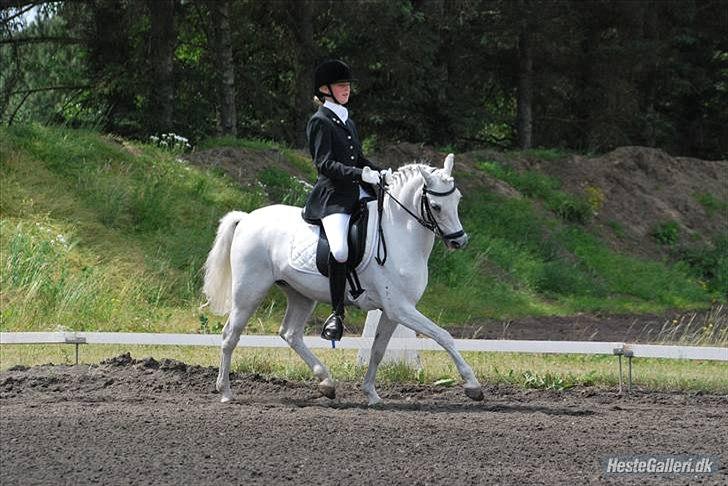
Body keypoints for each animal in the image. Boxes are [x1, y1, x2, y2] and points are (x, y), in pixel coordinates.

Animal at [203, 153, 484, 405]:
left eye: (458, 199)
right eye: (436, 206)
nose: (459, 241)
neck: (398, 234)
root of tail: (247, 218)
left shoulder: (394, 311)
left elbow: (377, 350)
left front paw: (371, 394)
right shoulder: (400, 308)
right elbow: (443, 336)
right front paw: (473, 386)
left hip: (300, 294)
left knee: (290, 334)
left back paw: (326, 383)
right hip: (249, 292)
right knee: (230, 336)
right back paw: (225, 392)